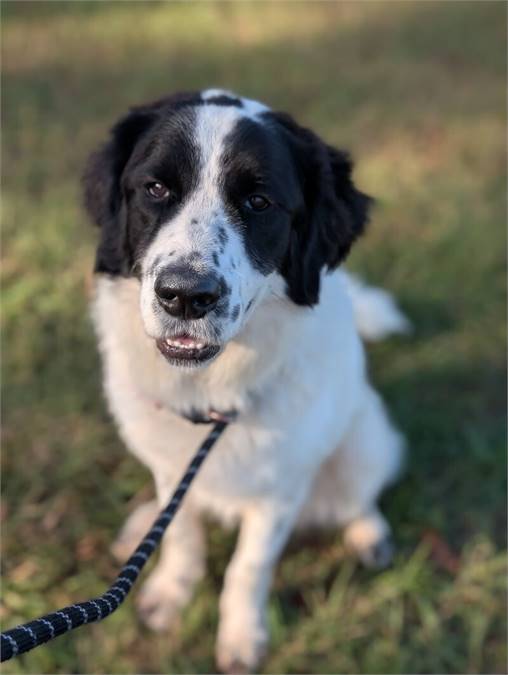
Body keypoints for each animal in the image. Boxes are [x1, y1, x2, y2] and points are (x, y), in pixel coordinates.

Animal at [83, 88, 408, 672]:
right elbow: (182, 533)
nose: (185, 296)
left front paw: (241, 638)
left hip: (364, 435)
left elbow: (248, 567)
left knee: (360, 488)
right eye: (156, 189)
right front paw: (170, 594)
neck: (215, 392)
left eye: (259, 202)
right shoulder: (172, 464)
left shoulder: (280, 488)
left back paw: (369, 533)